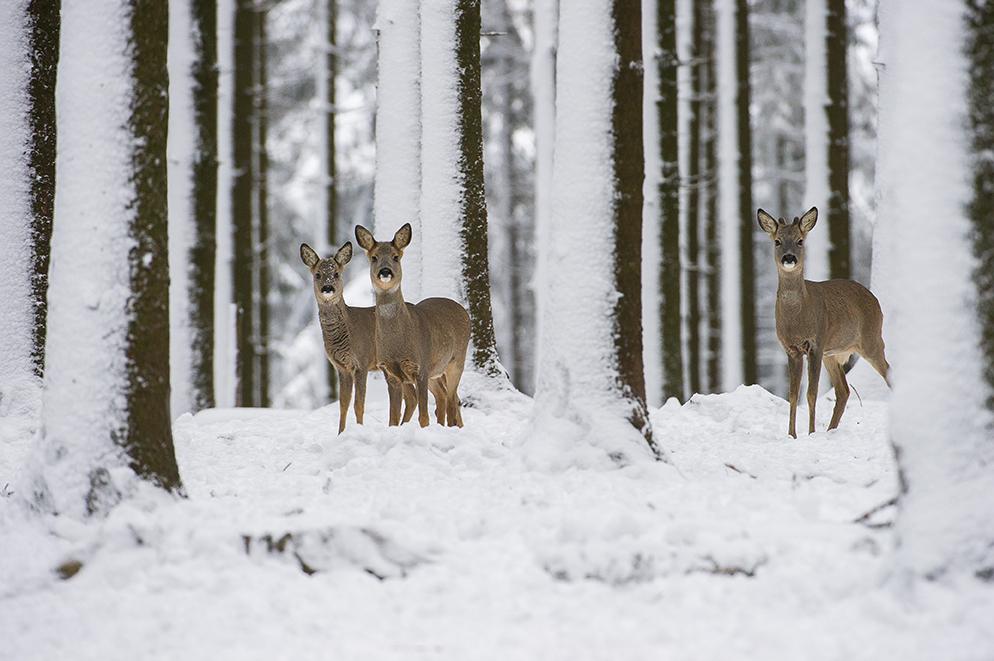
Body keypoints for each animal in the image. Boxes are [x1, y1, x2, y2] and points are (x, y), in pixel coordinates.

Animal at [352, 223, 468, 428]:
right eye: (374, 257)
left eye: (395, 257)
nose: (385, 272)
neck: (398, 343)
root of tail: (464, 311)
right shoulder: (390, 373)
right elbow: (393, 418)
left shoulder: (420, 366)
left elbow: (423, 416)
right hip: (436, 371)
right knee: (444, 397)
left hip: (456, 361)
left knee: (452, 400)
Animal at [756, 206, 888, 438]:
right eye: (777, 241)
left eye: (800, 240)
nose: (789, 257)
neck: (797, 319)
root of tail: (875, 300)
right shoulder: (791, 349)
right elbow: (793, 394)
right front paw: (792, 435)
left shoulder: (816, 343)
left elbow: (811, 393)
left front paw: (810, 433)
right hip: (833, 353)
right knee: (843, 390)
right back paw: (830, 430)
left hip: (872, 339)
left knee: (888, 372)